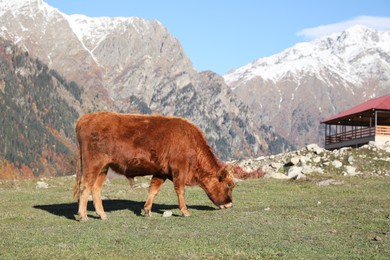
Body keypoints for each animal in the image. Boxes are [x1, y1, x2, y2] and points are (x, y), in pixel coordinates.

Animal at [74, 111, 236, 221]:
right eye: (229, 185)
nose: (230, 204)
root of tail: (86, 118)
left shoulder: (161, 171)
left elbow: (153, 189)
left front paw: (147, 210)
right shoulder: (179, 169)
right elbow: (180, 190)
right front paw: (185, 211)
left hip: (103, 168)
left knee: (95, 188)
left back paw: (102, 215)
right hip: (93, 165)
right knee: (86, 186)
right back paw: (83, 216)